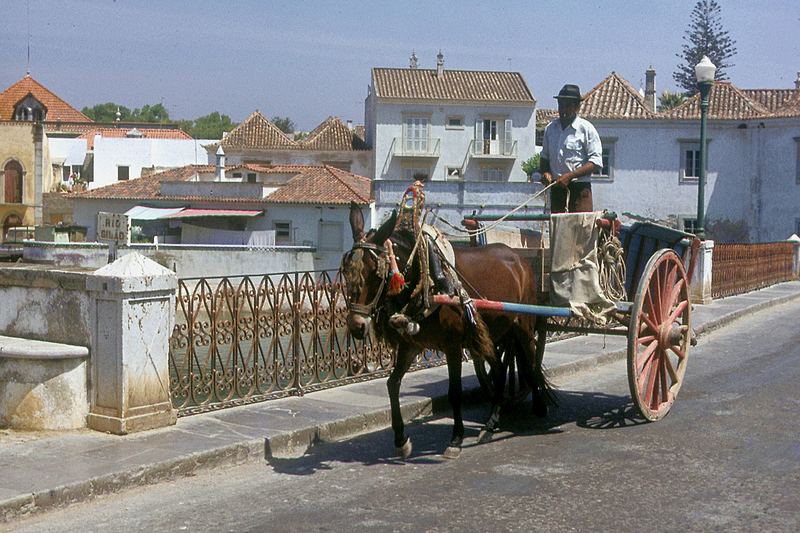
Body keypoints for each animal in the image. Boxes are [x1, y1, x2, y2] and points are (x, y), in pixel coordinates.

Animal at [340, 204, 552, 458]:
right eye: (346, 270)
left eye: (375, 273)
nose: (357, 325)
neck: (425, 278)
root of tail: (520, 259)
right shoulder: (411, 344)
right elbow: (393, 384)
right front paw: (401, 439)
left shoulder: (452, 347)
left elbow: (455, 392)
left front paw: (456, 438)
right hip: (493, 334)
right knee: (501, 369)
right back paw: (491, 423)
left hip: (524, 326)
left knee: (531, 362)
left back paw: (539, 406)